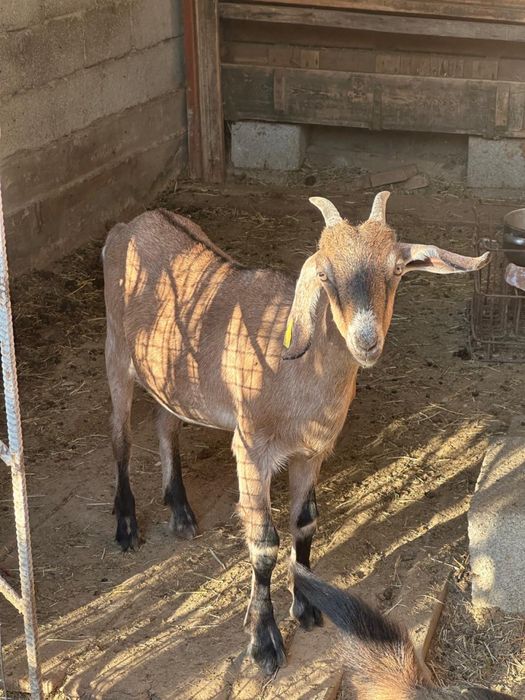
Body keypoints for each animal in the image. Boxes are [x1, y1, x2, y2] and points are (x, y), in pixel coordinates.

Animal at [102, 192, 489, 674]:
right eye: (324, 274)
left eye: (398, 269)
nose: (366, 341)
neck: (293, 368)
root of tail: (130, 226)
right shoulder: (251, 449)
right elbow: (264, 543)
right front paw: (263, 642)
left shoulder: (312, 451)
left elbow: (305, 524)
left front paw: (305, 608)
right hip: (116, 352)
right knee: (120, 437)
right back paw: (126, 525)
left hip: (170, 375)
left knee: (165, 422)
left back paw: (180, 511)